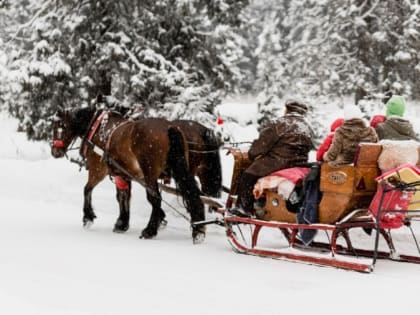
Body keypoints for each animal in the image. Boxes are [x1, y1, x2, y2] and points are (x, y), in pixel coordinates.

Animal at [50, 107, 207, 243]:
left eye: (60, 126)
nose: (55, 152)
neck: (97, 130)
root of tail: (169, 127)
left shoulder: (98, 170)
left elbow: (87, 189)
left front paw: (88, 217)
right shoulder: (122, 175)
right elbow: (123, 197)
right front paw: (122, 223)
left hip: (150, 174)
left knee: (155, 199)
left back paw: (149, 230)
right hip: (180, 169)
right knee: (191, 194)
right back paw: (198, 229)